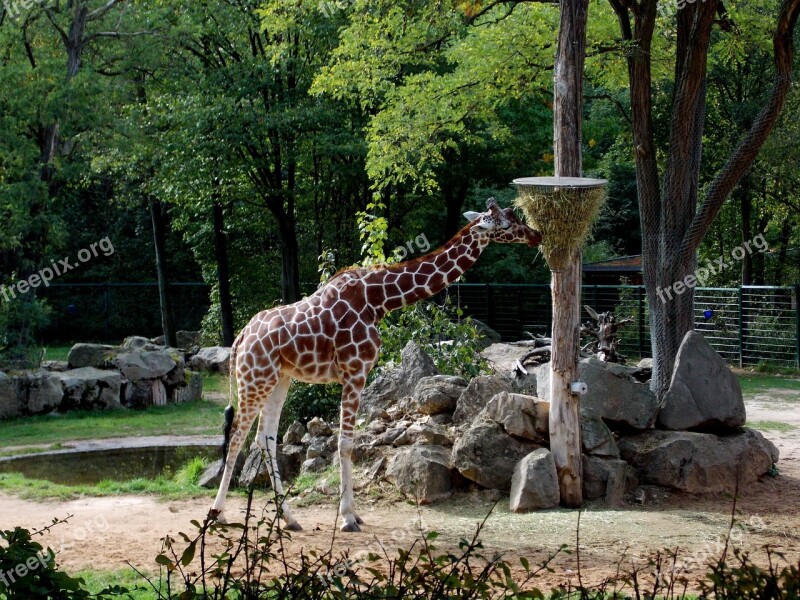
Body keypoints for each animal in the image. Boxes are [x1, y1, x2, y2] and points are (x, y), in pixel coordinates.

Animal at [209, 199, 540, 532]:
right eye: (507, 223)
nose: (535, 235)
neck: (379, 299)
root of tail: (240, 339)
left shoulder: (350, 373)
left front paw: (353, 514)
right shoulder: (355, 371)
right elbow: (345, 444)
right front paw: (347, 518)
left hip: (279, 379)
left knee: (265, 438)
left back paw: (289, 519)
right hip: (255, 378)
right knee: (237, 435)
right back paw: (218, 513)